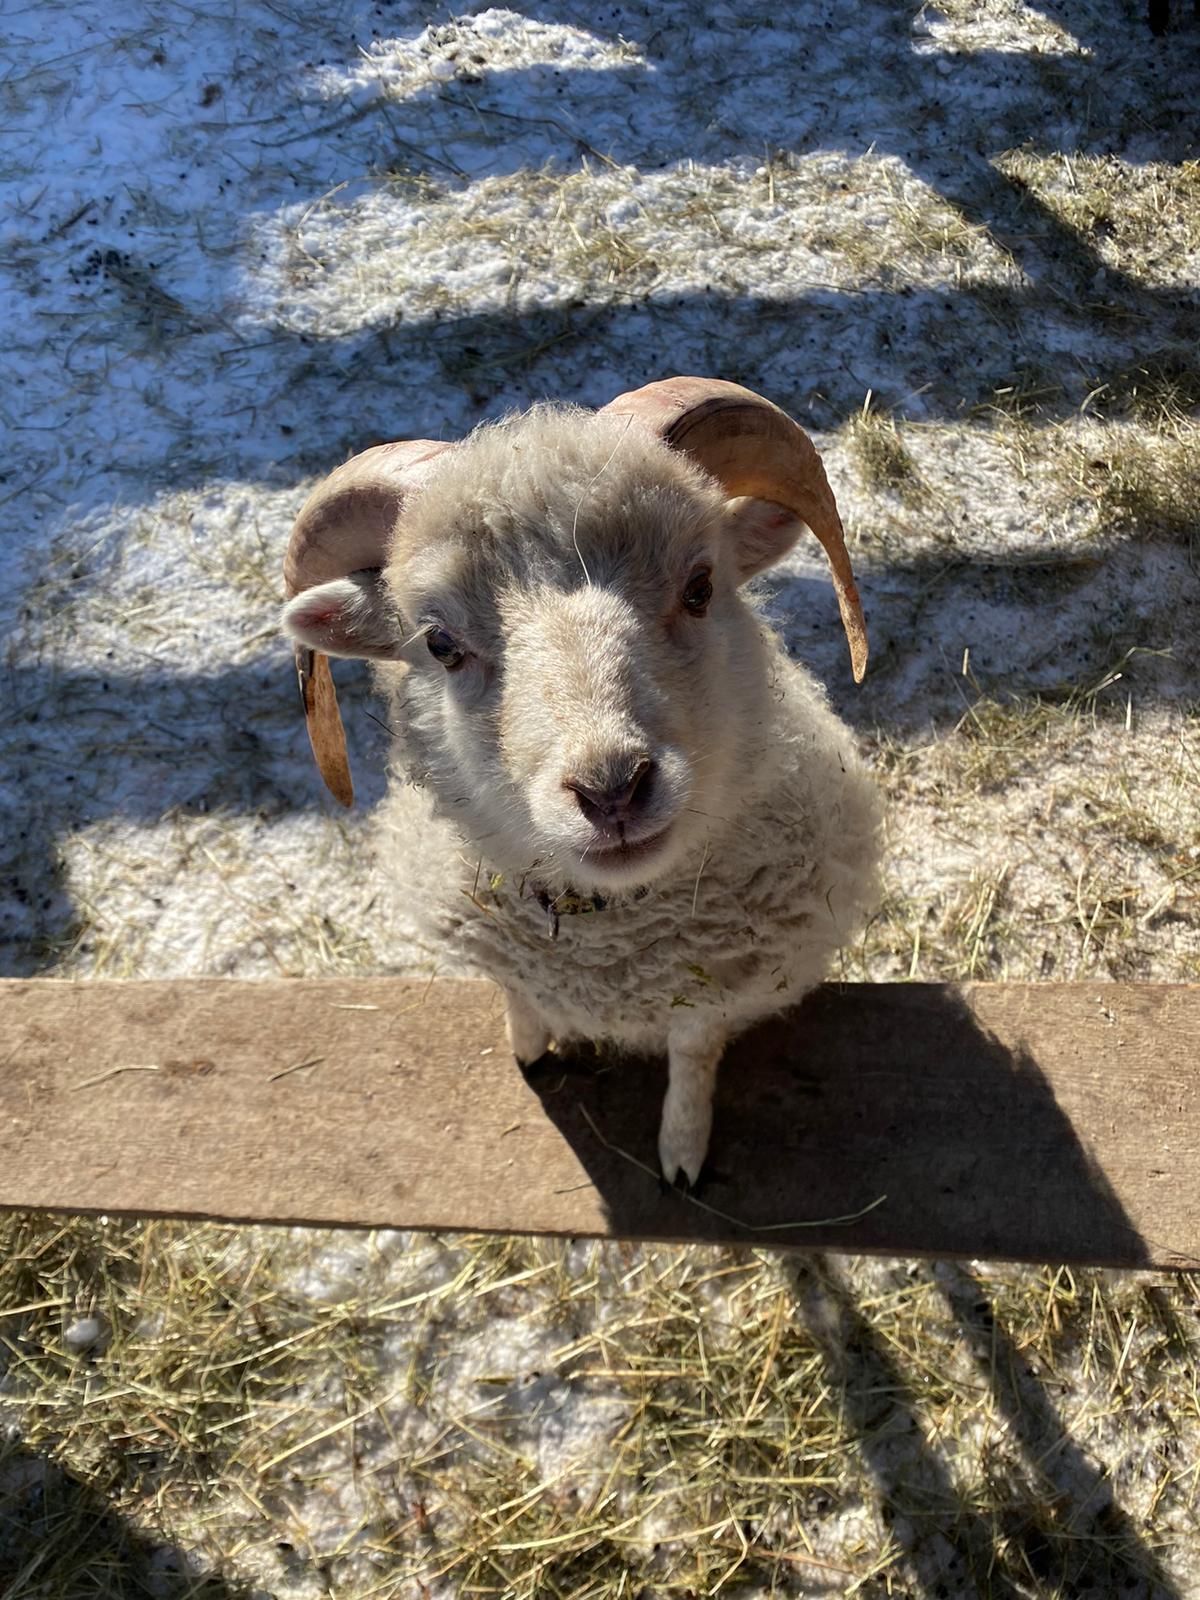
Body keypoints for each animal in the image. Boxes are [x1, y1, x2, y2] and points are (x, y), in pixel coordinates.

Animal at [281, 377, 883, 1190]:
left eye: (700, 586)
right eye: (439, 643)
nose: (611, 790)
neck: (609, 946)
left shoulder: (716, 989)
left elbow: (693, 1052)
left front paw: (682, 1151)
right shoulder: (508, 959)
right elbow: (520, 998)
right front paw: (527, 1050)